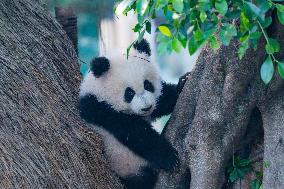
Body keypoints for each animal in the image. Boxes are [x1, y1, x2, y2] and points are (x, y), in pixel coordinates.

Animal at [79, 38, 186, 189]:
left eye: (147, 85)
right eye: (129, 93)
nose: (147, 107)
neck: (98, 91)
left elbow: (162, 101)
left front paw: (182, 84)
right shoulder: (100, 109)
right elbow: (136, 133)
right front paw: (169, 157)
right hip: (129, 166)